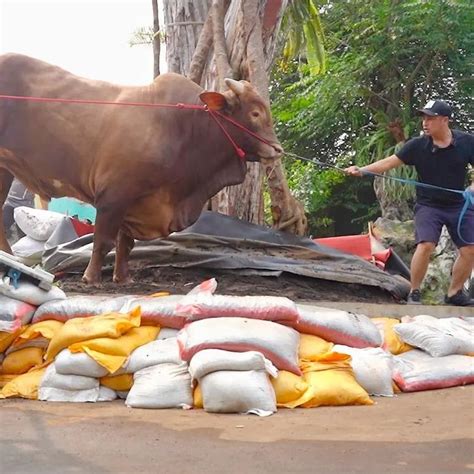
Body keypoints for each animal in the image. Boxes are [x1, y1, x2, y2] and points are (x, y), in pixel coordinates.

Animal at [0, 55, 282, 286]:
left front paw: (122, 278)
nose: (277, 149)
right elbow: (103, 241)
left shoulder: (135, 202)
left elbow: (126, 244)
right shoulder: (114, 196)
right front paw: (91, 278)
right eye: (255, 113)